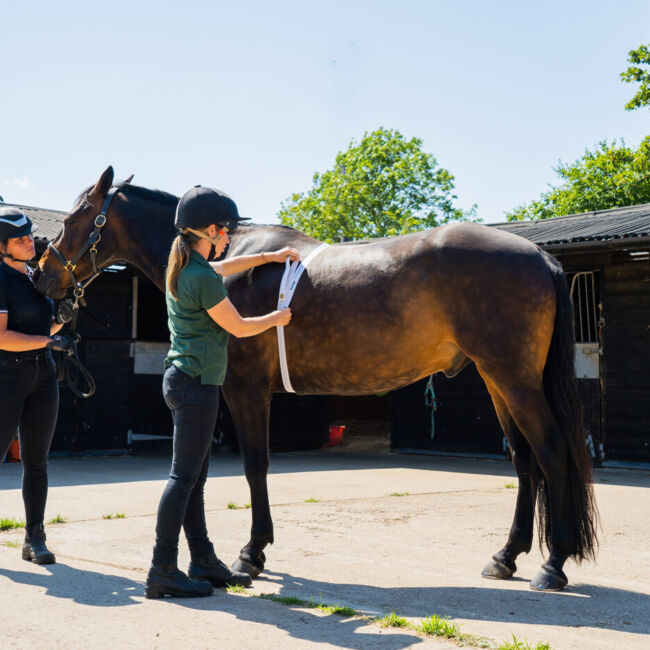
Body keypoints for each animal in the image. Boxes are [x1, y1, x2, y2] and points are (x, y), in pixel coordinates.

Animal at [35, 166, 598, 591]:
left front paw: (250, 553)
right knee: (524, 461)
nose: (42, 273)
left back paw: (552, 565)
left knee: (551, 453)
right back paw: (506, 557)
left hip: (515, 380)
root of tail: (539, 256)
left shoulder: (244, 390)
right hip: (498, 380)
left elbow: (256, 466)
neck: (227, 261)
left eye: (78, 215)